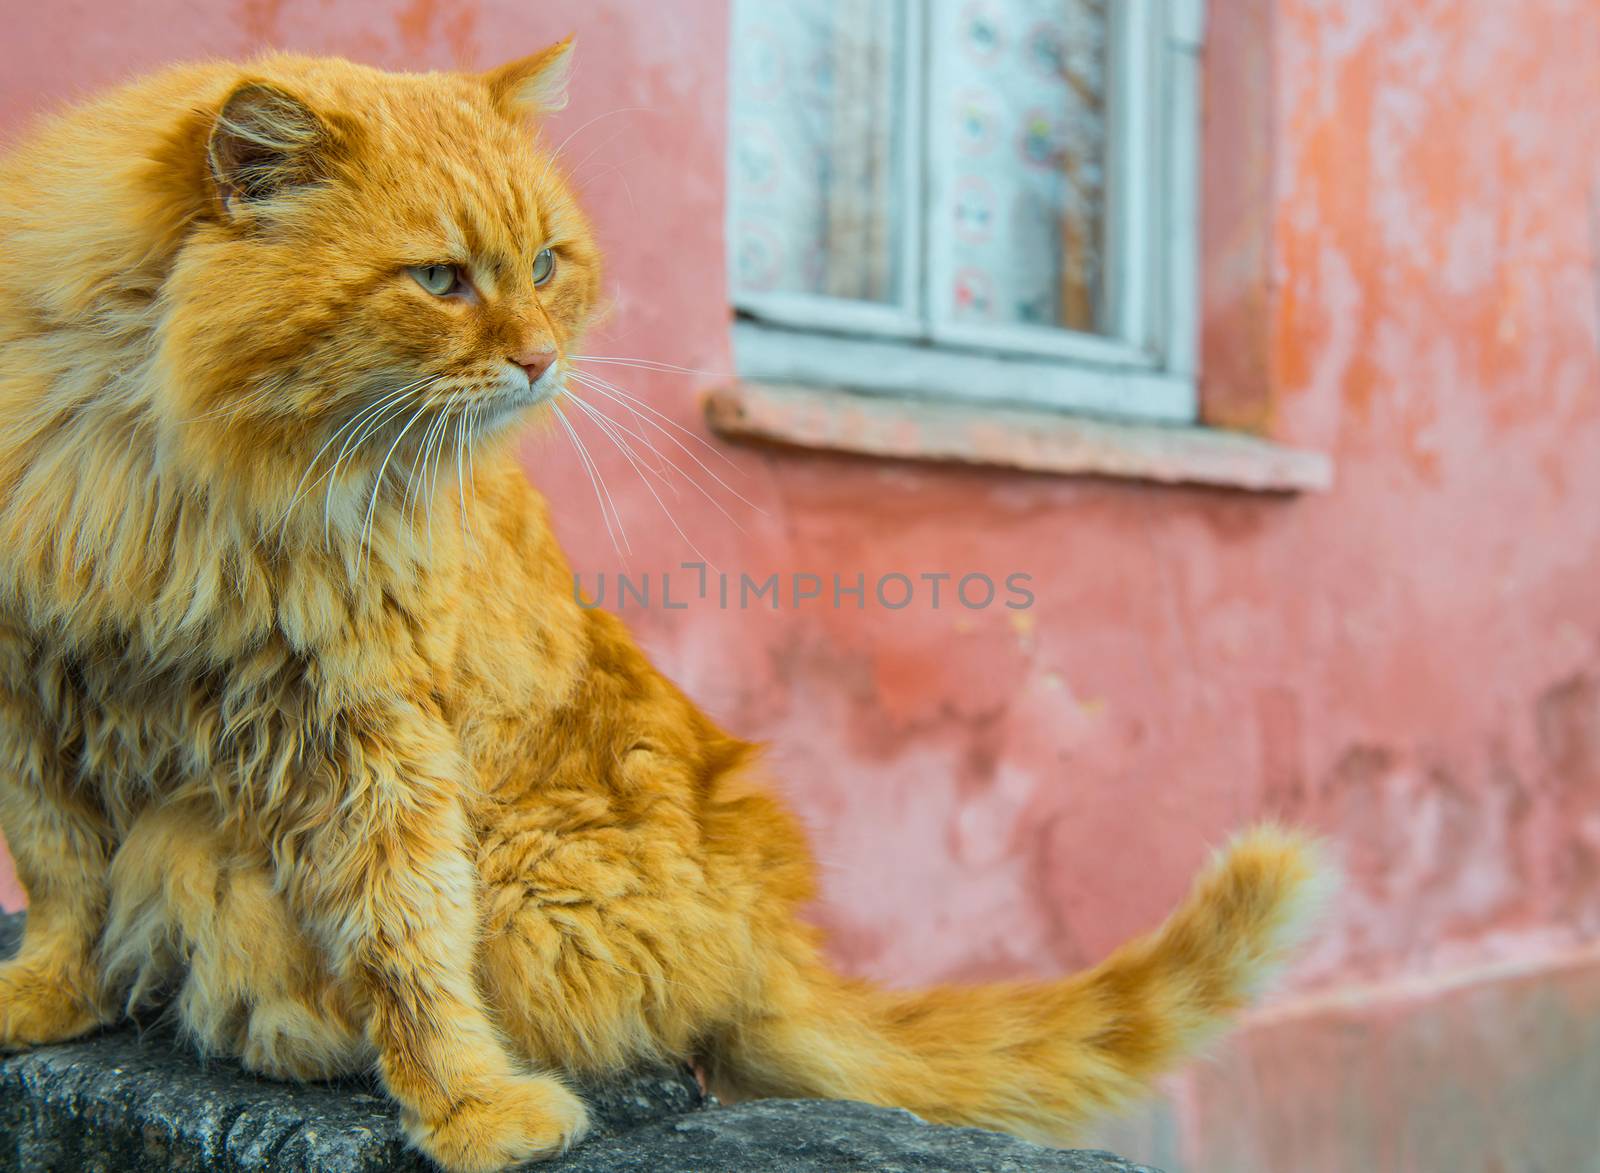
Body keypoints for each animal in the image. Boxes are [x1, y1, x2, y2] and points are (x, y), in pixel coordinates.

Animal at [0, 45, 1324, 1171]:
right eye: (438, 280)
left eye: (545, 264)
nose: (540, 361)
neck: (161, 464)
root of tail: (766, 935)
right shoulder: (35, 692)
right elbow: (60, 879)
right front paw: (47, 998)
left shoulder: (368, 727)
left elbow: (407, 938)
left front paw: (469, 1105)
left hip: (455, 858)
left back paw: (282, 1024)